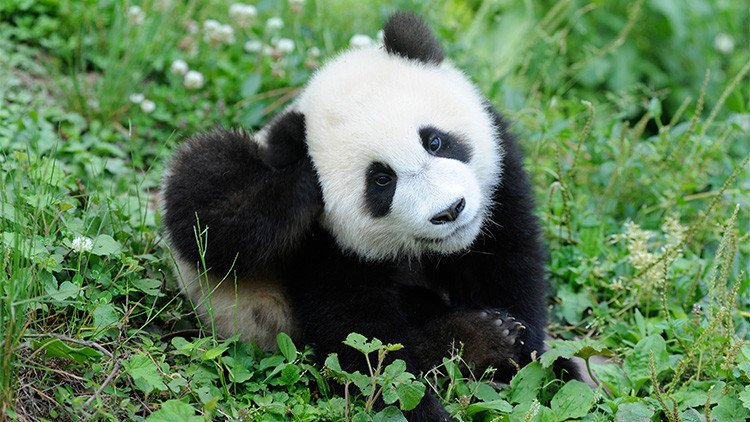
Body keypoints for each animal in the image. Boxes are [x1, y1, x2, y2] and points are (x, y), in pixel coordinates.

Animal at [162, 12, 578, 420]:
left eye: (435, 141)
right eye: (381, 180)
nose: (450, 210)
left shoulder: (500, 182)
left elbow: (509, 265)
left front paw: (527, 356)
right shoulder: (322, 246)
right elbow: (362, 342)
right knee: (202, 186)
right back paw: (476, 337)